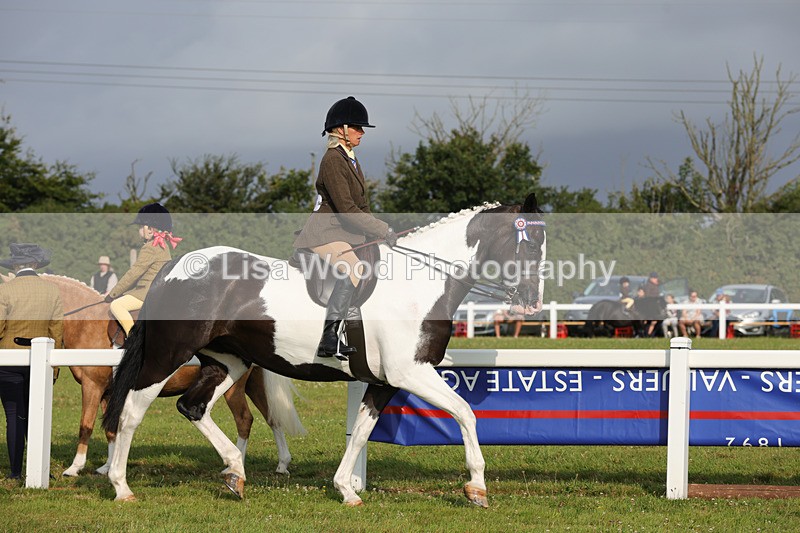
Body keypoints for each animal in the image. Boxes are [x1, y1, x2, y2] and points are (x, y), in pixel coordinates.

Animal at [38, 274, 306, 477]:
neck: (88, 324)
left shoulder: (91, 386)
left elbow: (86, 426)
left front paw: (75, 468)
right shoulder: (108, 392)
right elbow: (110, 428)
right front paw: (107, 466)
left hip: (233, 388)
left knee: (244, 420)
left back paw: (233, 466)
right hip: (253, 384)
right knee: (272, 417)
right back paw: (282, 464)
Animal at [102, 194, 547, 507]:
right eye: (531, 245)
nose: (532, 302)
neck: (420, 282)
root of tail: (172, 267)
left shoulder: (384, 381)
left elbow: (361, 432)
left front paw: (346, 489)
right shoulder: (411, 372)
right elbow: (465, 413)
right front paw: (477, 487)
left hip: (229, 363)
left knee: (193, 407)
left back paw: (234, 471)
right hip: (167, 356)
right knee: (132, 409)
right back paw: (121, 486)